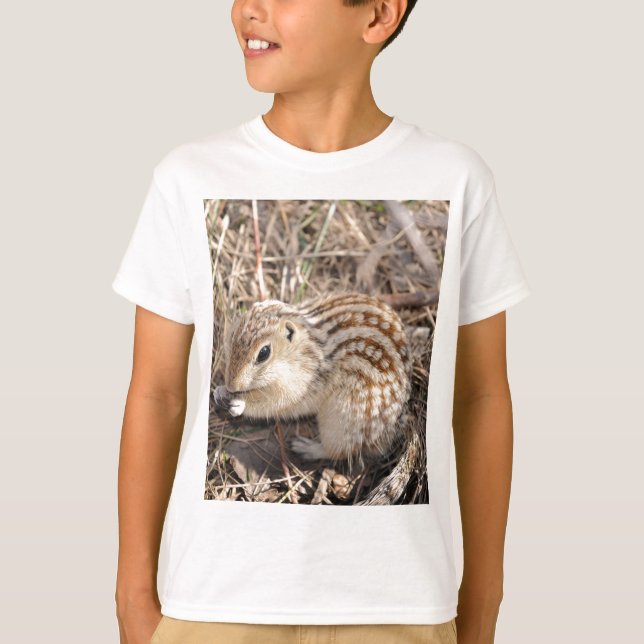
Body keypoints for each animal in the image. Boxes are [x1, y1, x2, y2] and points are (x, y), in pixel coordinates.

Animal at [213, 292, 412, 466]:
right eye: (232, 335)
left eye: (264, 353)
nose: (232, 385)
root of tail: (392, 431)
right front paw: (219, 391)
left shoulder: (301, 384)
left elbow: (275, 404)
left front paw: (239, 403)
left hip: (341, 422)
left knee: (339, 452)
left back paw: (306, 448)